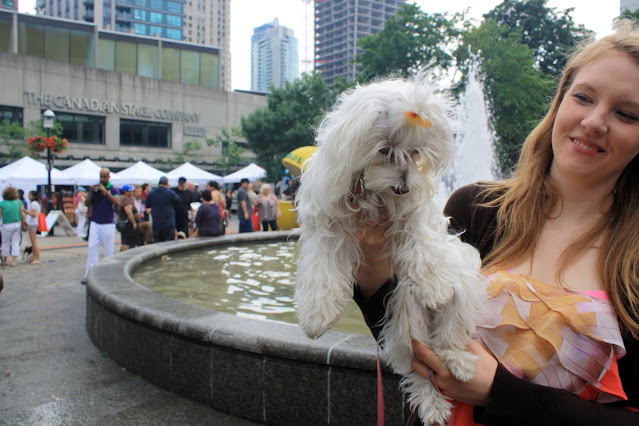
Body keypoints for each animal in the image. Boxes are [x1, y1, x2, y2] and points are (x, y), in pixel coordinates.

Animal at [294, 75, 484, 424]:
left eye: (415, 151)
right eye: (385, 150)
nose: (402, 187)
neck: (373, 193)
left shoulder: (416, 213)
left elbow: (422, 240)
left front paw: (433, 287)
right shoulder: (327, 224)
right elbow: (321, 270)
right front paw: (316, 315)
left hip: (461, 293)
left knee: (448, 338)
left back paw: (459, 363)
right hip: (407, 320)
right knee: (419, 364)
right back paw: (433, 402)